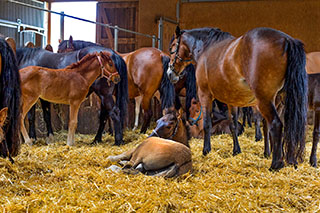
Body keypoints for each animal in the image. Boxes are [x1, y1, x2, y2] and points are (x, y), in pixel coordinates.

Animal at [58, 37, 198, 133]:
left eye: (64, 51)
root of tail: (161, 54)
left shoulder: (102, 96)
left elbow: (105, 113)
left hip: (148, 94)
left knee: (148, 113)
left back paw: (142, 131)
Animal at [168, 26, 308, 171]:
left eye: (172, 46)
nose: (170, 72)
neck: (206, 49)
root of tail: (287, 39)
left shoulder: (204, 95)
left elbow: (207, 123)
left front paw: (206, 150)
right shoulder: (231, 101)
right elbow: (233, 125)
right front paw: (236, 150)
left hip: (264, 101)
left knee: (275, 124)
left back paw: (275, 163)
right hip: (279, 101)